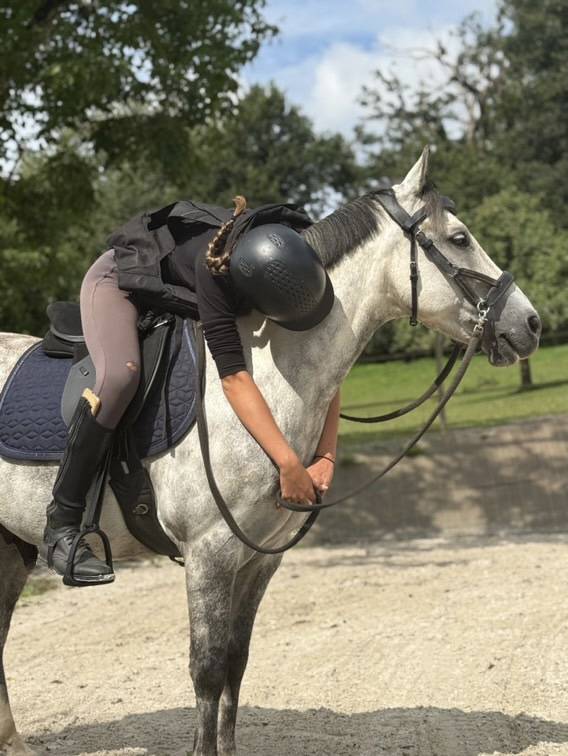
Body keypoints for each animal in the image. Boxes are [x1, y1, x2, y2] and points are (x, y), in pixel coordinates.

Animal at [0, 148, 540, 755]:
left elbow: (235, 663)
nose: (531, 323)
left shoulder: (259, 558)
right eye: (459, 238)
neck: (272, 378)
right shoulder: (209, 554)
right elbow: (207, 669)